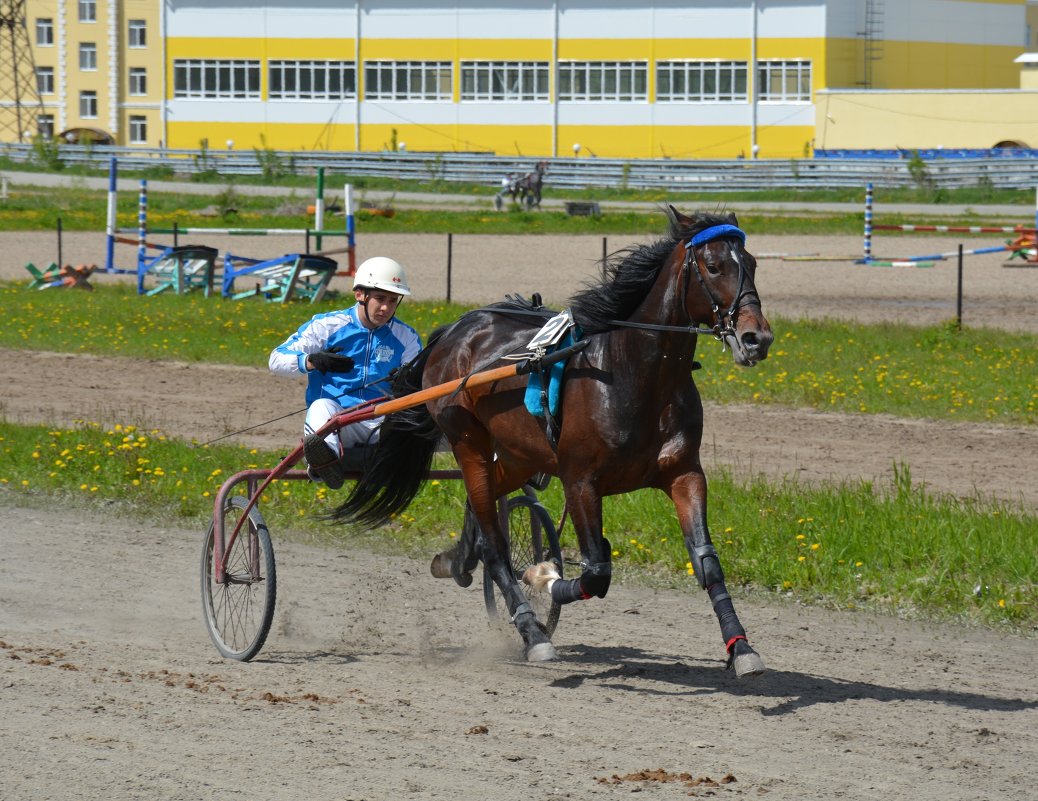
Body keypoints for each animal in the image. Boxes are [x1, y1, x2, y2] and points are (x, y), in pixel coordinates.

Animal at [332, 208, 772, 676]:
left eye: (752, 264)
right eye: (714, 266)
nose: (757, 338)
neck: (633, 374)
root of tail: (456, 329)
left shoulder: (684, 472)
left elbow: (707, 560)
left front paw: (741, 647)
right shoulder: (580, 480)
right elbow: (596, 572)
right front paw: (542, 575)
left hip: (519, 455)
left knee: (483, 506)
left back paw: (458, 559)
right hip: (467, 440)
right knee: (495, 544)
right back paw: (532, 632)